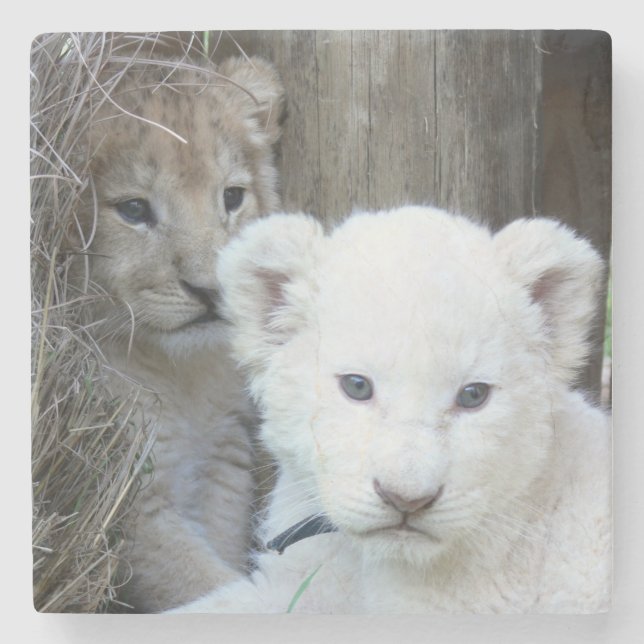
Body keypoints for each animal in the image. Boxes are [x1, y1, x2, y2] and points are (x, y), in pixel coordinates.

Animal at [72, 55, 285, 612]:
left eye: (231, 197)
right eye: (133, 209)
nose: (211, 289)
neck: (181, 374)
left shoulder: (223, 463)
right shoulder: (125, 497)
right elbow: (207, 591)